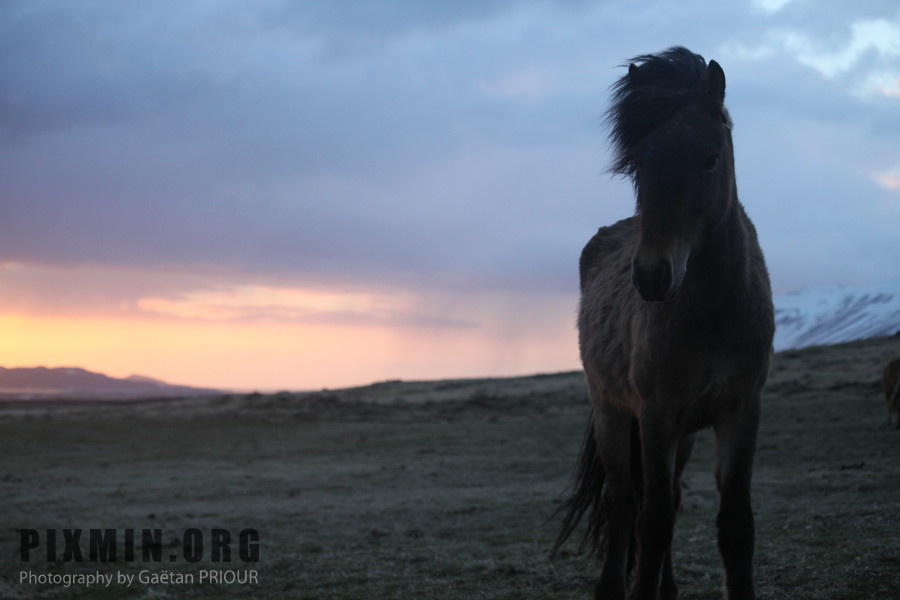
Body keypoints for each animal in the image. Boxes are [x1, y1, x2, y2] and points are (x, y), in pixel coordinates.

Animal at [552, 48, 776, 600]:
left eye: (710, 158)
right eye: (638, 164)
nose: (653, 274)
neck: (713, 313)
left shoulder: (740, 410)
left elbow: (735, 525)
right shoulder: (655, 417)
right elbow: (650, 524)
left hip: (685, 432)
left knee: (669, 495)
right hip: (611, 412)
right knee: (622, 501)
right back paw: (611, 588)